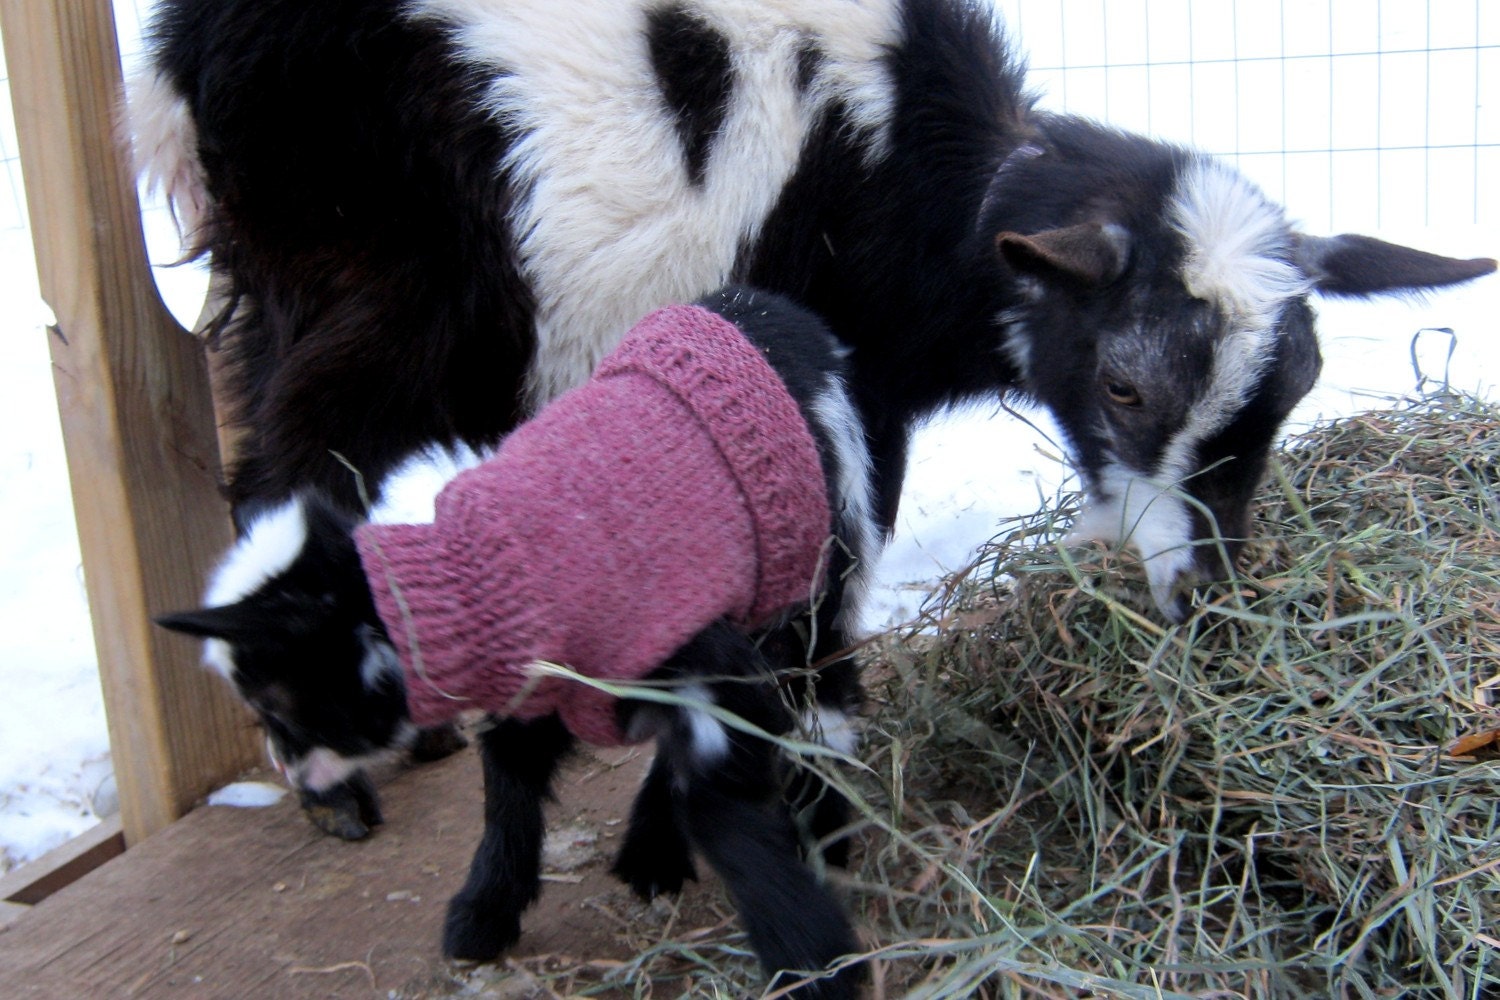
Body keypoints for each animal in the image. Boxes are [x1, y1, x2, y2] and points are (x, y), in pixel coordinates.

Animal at [134, 0, 1494, 861]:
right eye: (1122, 387)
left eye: (1292, 397)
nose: (1206, 599)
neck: (906, 182)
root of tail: (180, 58)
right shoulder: (830, 379)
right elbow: (840, 547)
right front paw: (822, 724)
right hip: (371, 299)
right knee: (288, 475)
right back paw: (332, 777)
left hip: (281, 300)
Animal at [159, 287, 874, 997]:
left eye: (277, 703)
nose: (288, 769)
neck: (471, 572)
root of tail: (773, 311)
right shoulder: (540, 690)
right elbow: (510, 792)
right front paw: (482, 917)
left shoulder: (702, 666)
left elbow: (720, 803)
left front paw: (809, 955)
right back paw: (654, 854)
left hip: (813, 571)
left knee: (827, 686)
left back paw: (824, 830)